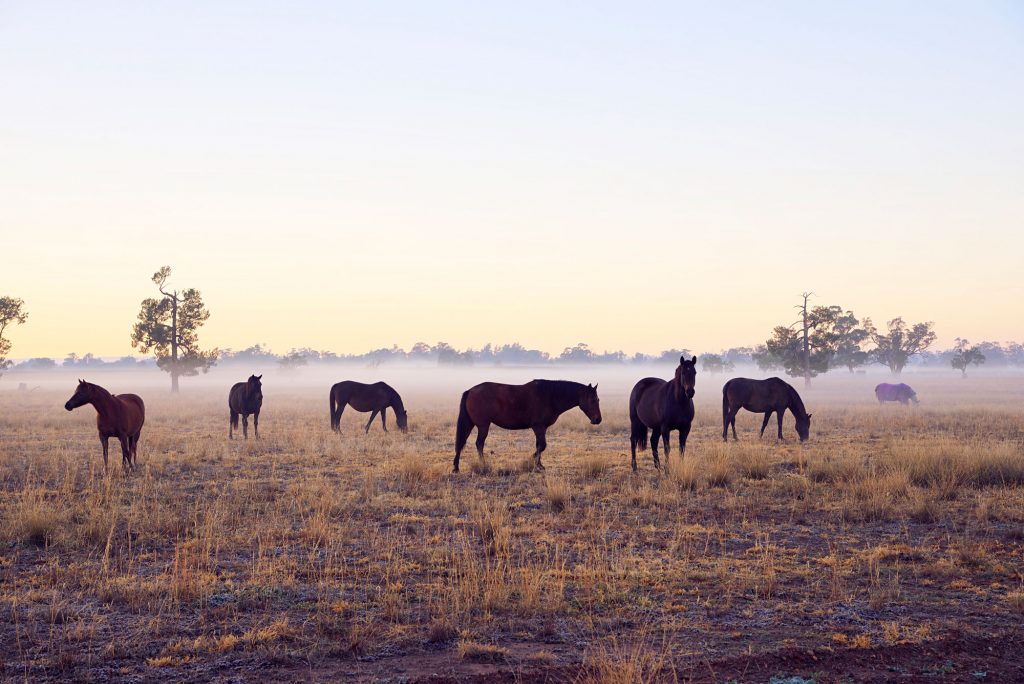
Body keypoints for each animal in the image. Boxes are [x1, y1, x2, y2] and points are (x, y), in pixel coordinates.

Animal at [454, 376, 598, 473]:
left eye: (597, 399)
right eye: (592, 400)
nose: (598, 419)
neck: (550, 395)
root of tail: (470, 391)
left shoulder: (542, 428)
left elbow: (539, 445)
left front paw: (539, 464)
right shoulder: (538, 426)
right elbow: (542, 446)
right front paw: (532, 461)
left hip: (471, 424)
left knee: (462, 443)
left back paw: (456, 467)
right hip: (483, 426)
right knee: (479, 444)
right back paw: (483, 465)